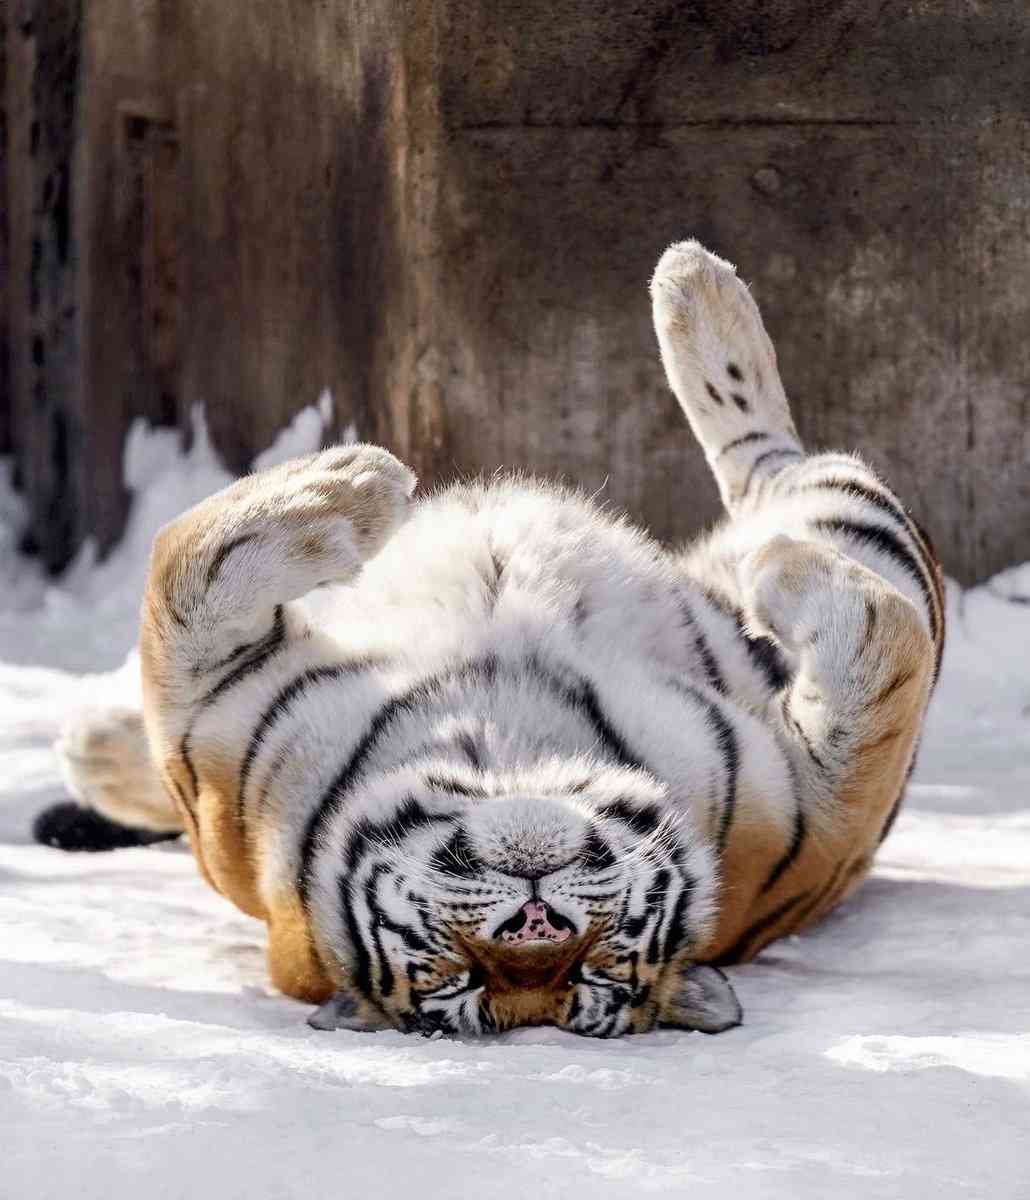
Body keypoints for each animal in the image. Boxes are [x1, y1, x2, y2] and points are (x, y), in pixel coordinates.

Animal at [45, 240, 943, 1038]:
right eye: (461, 975)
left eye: (595, 968)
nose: (537, 919)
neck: (501, 740)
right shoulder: (207, 730)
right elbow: (181, 564)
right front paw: (358, 483)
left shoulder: (820, 821)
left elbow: (889, 647)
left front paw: (354, 482)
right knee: (773, 466)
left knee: (776, 467)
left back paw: (692, 283)